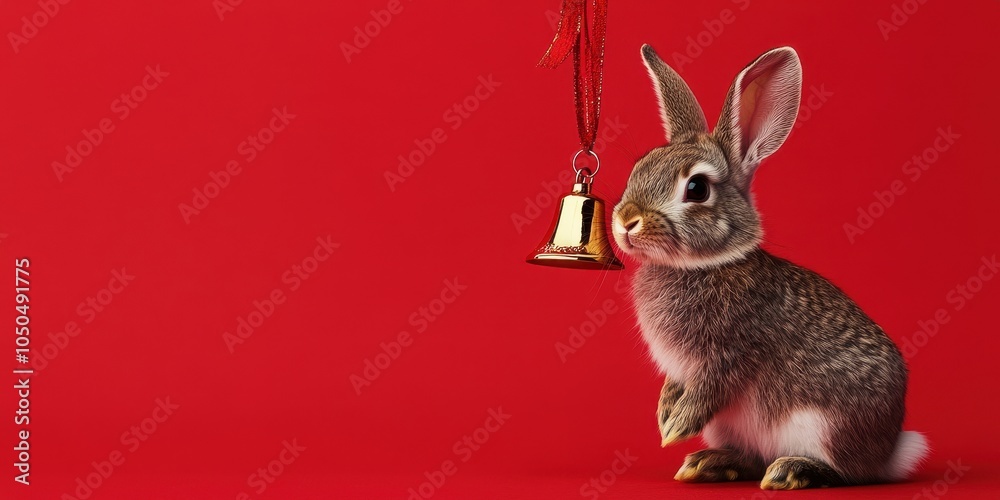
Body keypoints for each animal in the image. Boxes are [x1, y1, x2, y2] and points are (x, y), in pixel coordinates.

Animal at [610, 44, 928, 490]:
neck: (702, 265)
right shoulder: (682, 369)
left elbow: (708, 392)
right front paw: (664, 416)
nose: (626, 221)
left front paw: (675, 428)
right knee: (753, 459)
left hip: (825, 426)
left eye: (697, 188)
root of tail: (890, 451)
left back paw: (792, 470)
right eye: (641, 165)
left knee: (846, 473)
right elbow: (676, 387)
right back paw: (708, 464)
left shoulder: (729, 357)